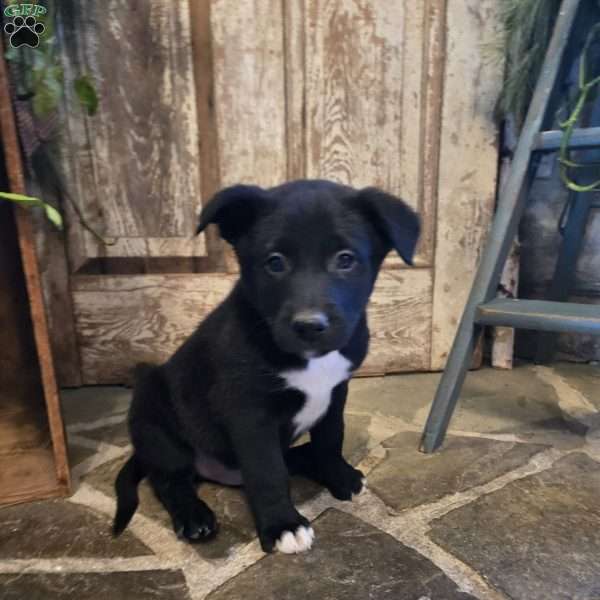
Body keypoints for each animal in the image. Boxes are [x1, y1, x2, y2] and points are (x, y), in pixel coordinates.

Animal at [115, 180, 420, 556]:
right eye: (275, 263)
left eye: (345, 260)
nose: (309, 325)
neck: (309, 358)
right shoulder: (250, 414)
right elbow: (267, 471)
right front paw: (283, 525)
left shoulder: (336, 394)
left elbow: (330, 439)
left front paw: (337, 474)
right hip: (154, 415)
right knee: (169, 479)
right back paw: (193, 515)